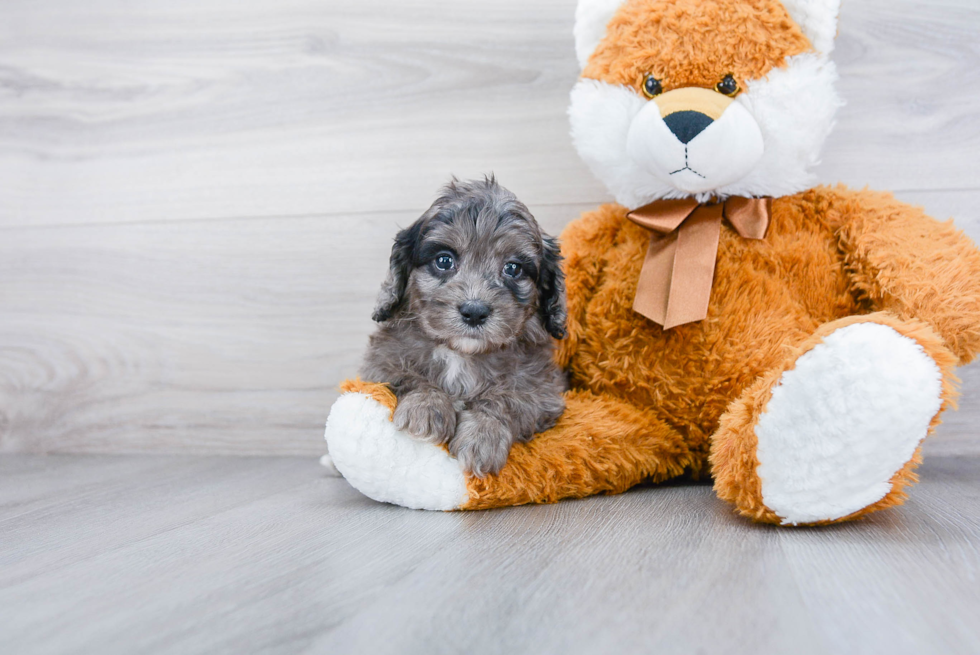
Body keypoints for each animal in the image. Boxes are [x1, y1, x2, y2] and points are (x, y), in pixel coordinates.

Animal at [364, 178, 572, 476]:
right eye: (444, 260)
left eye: (513, 268)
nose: (474, 312)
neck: (462, 354)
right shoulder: (379, 366)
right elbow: (408, 376)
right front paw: (425, 407)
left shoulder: (544, 390)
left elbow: (510, 397)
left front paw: (483, 435)